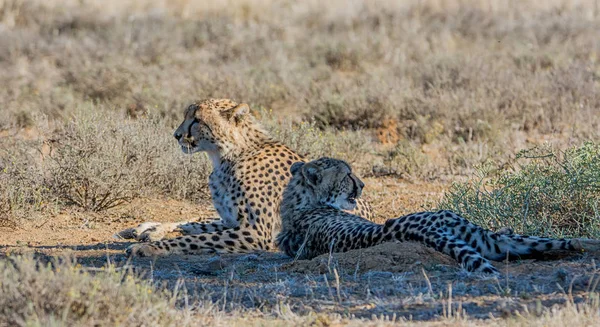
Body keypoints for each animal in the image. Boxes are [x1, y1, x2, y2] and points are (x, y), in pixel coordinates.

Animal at [119, 98, 372, 258]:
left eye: (197, 120)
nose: (177, 135)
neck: (228, 155)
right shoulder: (232, 221)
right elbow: (195, 226)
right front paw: (152, 233)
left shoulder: (255, 233)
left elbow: (193, 239)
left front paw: (150, 248)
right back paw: (146, 228)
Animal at [276, 158, 600, 276]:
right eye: (346, 175)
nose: (363, 185)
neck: (299, 203)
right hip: (472, 232)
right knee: (537, 241)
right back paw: (590, 244)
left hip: (480, 239)